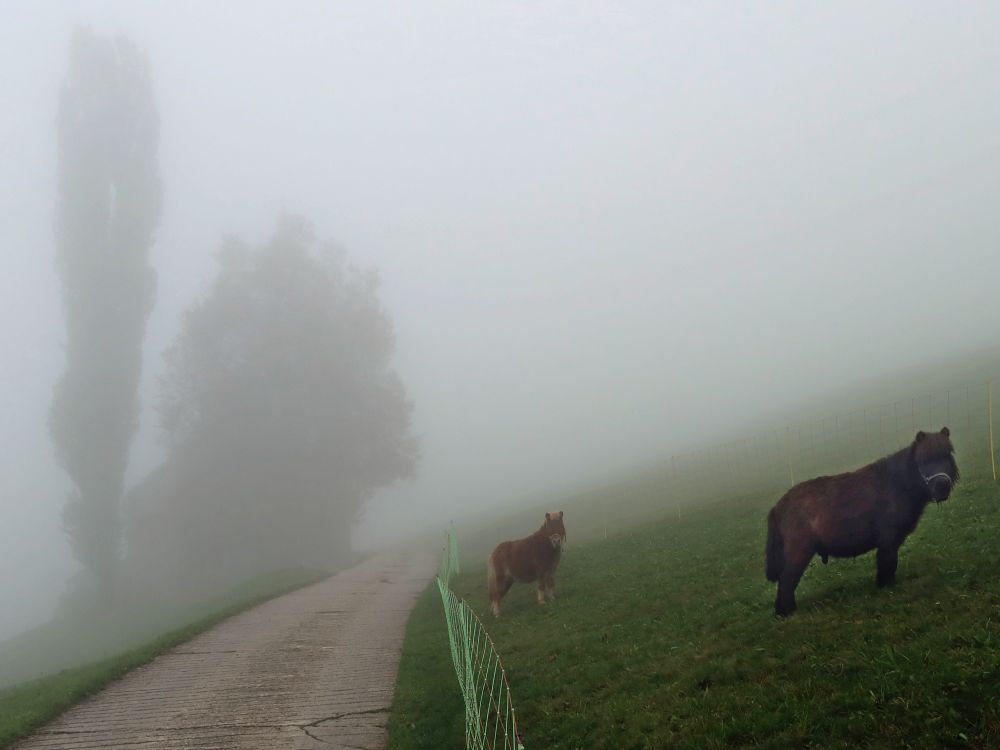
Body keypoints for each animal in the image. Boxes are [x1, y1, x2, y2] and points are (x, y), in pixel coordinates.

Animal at [764, 428, 960, 616]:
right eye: (923, 459)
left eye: (948, 454)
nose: (941, 487)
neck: (897, 484)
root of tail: (777, 507)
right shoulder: (888, 539)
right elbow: (888, 561)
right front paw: (886, 585)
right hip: (799, 552)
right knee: (787, 581)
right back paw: (786, 611)